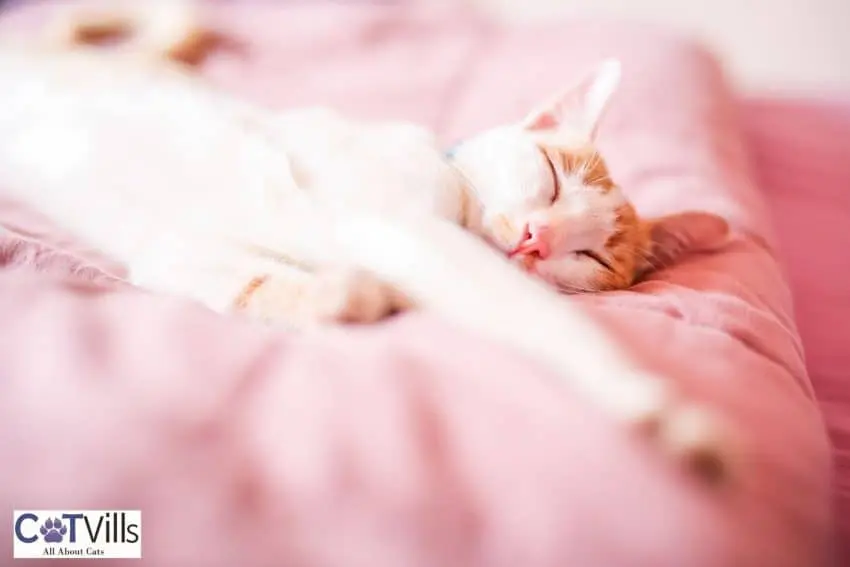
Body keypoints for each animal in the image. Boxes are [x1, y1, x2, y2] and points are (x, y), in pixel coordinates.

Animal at [0, 6, 728, 482]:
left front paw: (342, 296)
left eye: (592, 255)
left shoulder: (175, 250)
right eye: (550, 178)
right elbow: (543, 320)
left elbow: (251, 285)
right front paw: (648, 398)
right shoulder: (409, 230)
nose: (535, 238)